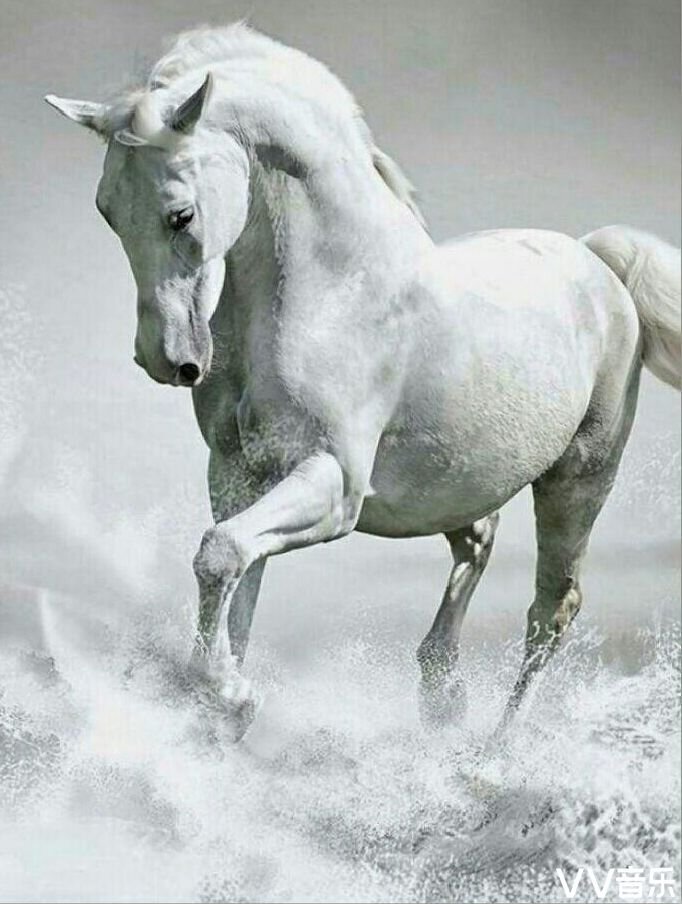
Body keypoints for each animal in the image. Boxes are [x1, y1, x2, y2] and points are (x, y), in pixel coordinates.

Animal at [45, 23, 681, 740]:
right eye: (107, 211)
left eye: (180, 215)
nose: (167, 360)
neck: (331, 292)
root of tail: (597, 262)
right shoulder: (239, 475)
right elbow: (237, 573)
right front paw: (225, 701)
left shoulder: (334, 483)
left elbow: (220, 554)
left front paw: (227, 693)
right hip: (452, 482)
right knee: (480, 543)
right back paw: (441, 693)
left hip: (578, 479)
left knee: (551, 611)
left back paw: (495, 747)